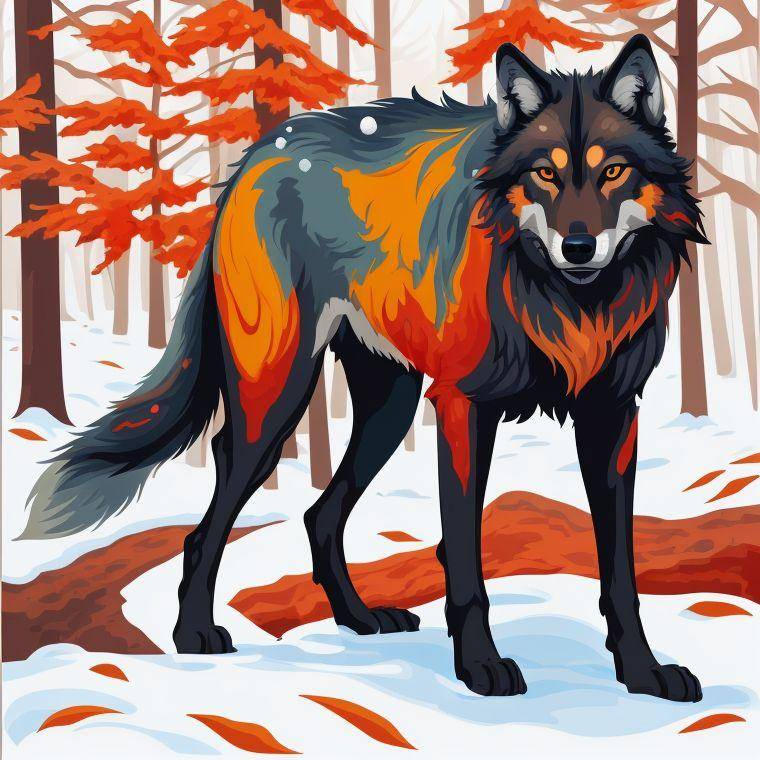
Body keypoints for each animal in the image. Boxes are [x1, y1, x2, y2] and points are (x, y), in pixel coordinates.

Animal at [23, 35, 705, 701]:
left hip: (388, 410)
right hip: (277, 401)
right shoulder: (463, 408)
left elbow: (619, 571)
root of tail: (252, 158)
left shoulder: (613, 416)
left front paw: (643, 674)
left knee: (318, 516)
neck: (569, 304)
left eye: (613, 171)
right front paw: (480, 668)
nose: (579, 246)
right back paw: (194, 634)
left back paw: (359, 619)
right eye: (545, 173)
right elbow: (465, 560)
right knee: (209, 516)